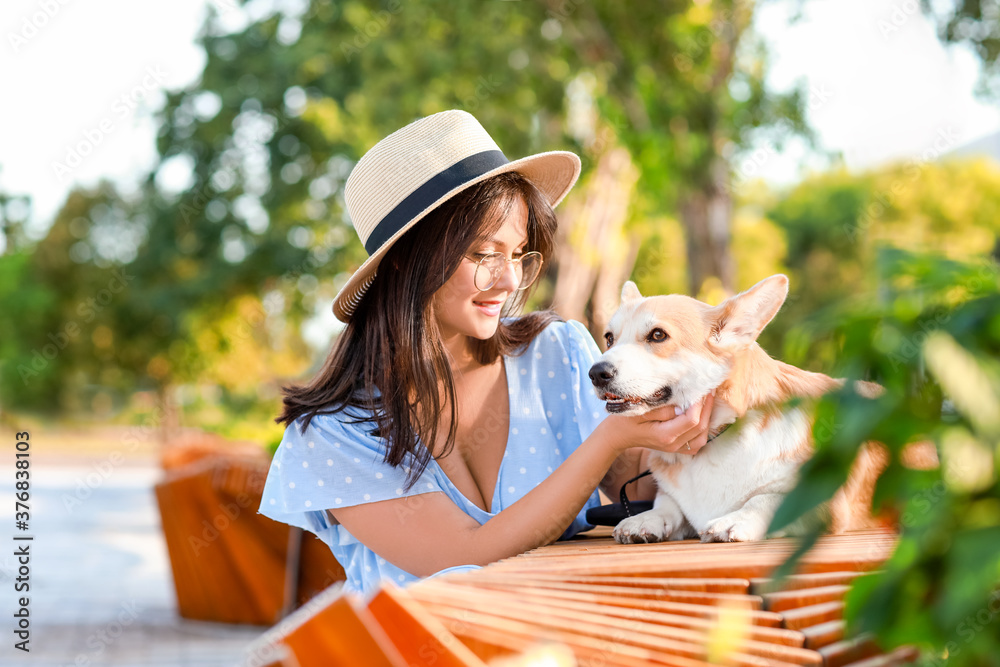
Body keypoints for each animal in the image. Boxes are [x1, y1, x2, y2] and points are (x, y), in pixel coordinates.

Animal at [588, 276, 888, 544]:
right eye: (609, 338)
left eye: (658, 335)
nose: (596, 373)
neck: (715, 440)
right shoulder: (672, 497)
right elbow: (667, 505)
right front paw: (644, 519)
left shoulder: (824, 505)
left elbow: (764, 499)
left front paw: (734, 520)